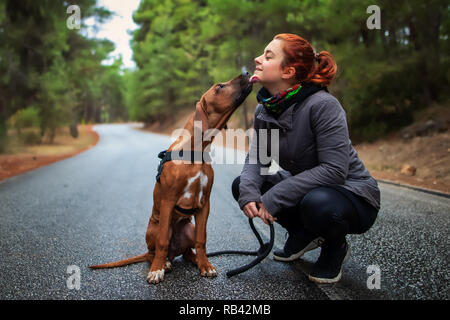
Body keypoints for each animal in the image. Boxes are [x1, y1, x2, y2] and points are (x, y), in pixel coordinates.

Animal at [89, 73, 253, 284]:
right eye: (220, 87)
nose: (247, 73)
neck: (194, 152)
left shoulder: (205, 204)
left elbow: (202, 240)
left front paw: (205, 265)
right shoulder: (168, 202)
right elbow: (162, 242)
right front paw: (156, 270)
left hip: (189, 227)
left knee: (187, 250)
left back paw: (193, 259)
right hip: (155, 228)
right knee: (154, 251)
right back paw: (162, 263)